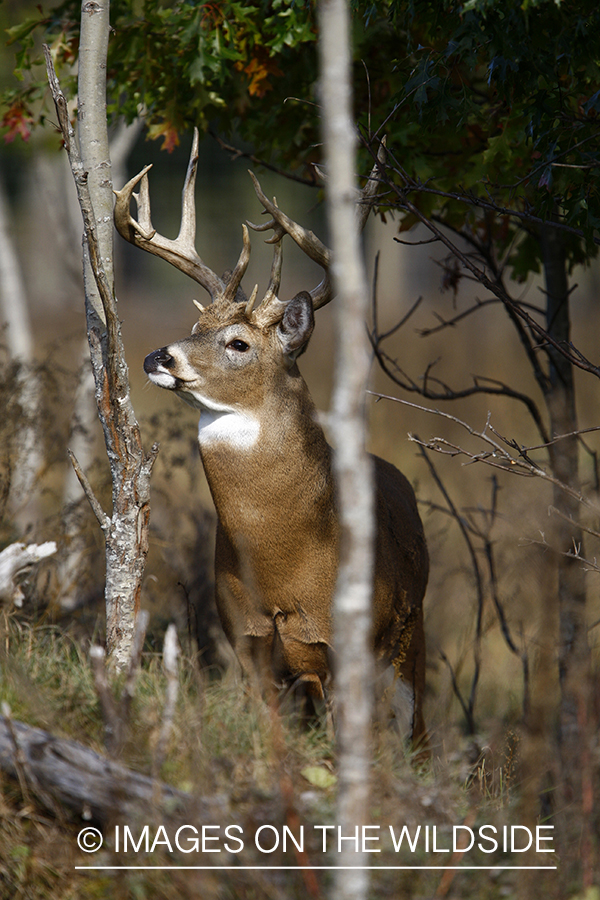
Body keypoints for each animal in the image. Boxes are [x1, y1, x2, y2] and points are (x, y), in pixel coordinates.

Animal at [115, 126, 428, 744]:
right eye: (195, 326)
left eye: (238, 343)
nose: (157, 355)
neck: (291, 564)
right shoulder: (249, 642)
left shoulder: (348, 648)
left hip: (410, 635)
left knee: (415, 728)